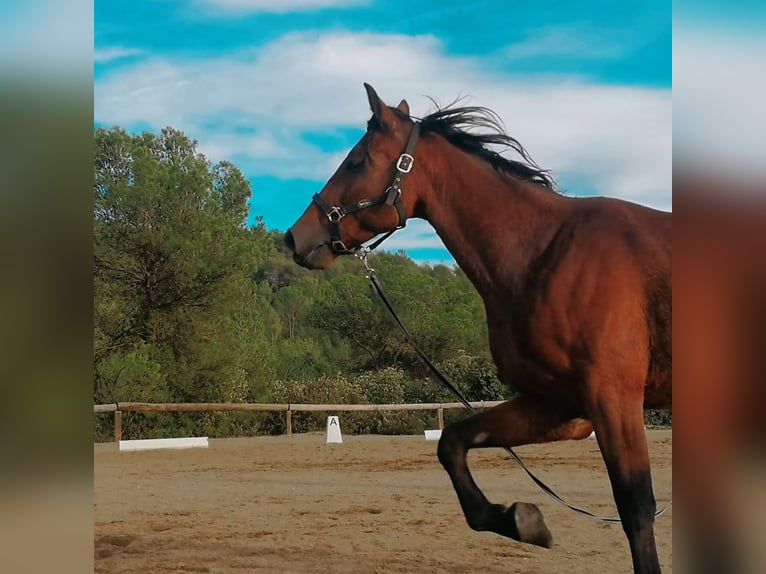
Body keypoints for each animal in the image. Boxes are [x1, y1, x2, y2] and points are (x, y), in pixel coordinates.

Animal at [284, 84, 672, 574]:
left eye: (356, 161)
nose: (295, 237)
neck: (545, 252)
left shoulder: (612, 398)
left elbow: (635, 508)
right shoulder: (561, 406)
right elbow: (453, 443)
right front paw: (519, 520)